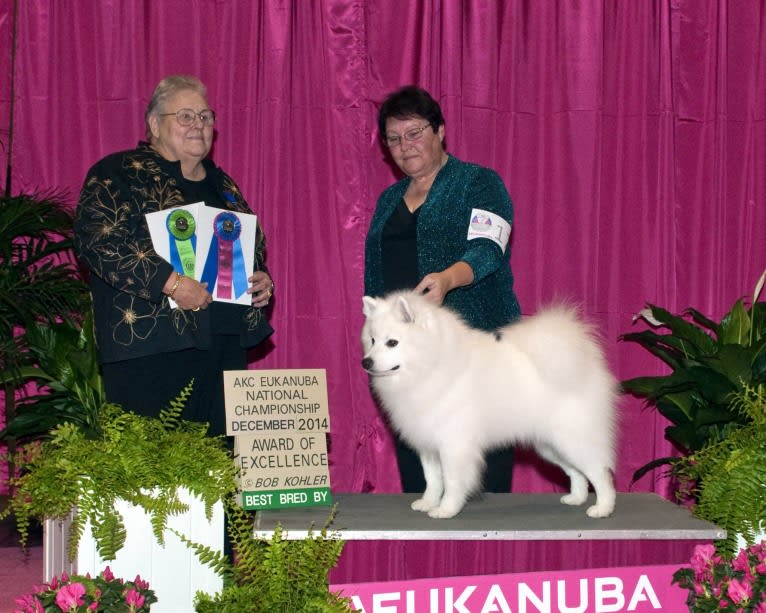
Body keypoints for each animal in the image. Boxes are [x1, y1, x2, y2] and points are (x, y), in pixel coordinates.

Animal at [364, 290, 620, 516]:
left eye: (392, 342)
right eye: (373, 341)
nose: (366, 362)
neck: (430, 366)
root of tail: (586, 363)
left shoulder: (454, 445)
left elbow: (452, 481)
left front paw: (446, 510)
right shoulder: (428, 445)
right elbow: (433, 480)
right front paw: (428, 503)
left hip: (572, 439)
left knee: (599, 472)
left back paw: (603, 508)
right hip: (550, 446)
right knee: (577, 473)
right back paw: (576, 498)